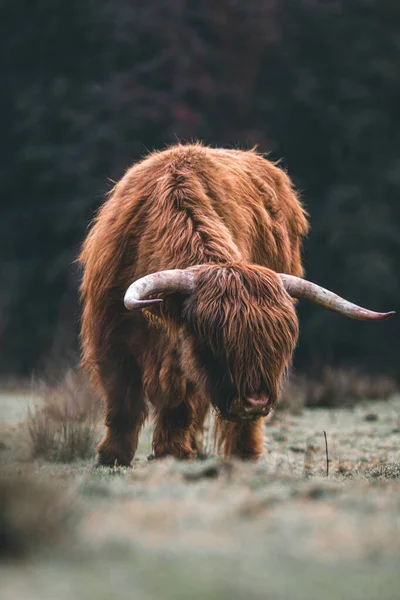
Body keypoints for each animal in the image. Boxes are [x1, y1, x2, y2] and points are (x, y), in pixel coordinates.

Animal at [79, 143, 394, 466]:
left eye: (278, 344)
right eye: (215, 341)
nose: (255, 401)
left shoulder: (180, 352)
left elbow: (178, 402)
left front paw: (172, 453)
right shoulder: (111, 336)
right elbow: (122, 401)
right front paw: (112, 456)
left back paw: (242, 453)